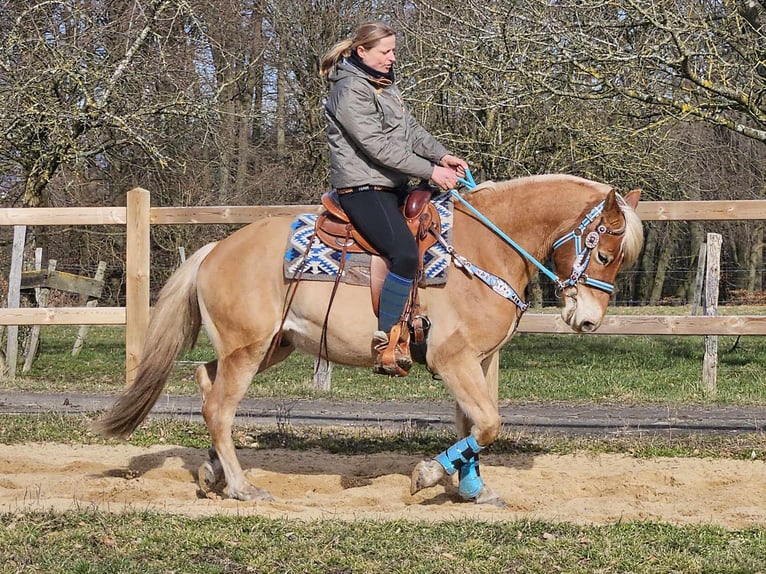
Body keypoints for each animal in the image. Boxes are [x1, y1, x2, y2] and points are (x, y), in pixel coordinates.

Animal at [96, 176, 648, 508]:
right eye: (604, 253)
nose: (588, 320)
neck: (485, 249)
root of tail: (214, 249)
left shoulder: (482, 361)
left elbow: (478, 424)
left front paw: (473, 488)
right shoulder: (451, 359)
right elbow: (488, 424)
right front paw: (429, 474)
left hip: (270, 346)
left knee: (206, 380)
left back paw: (212, 471)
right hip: (248, 349)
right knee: (219, 408)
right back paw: (241, 486)